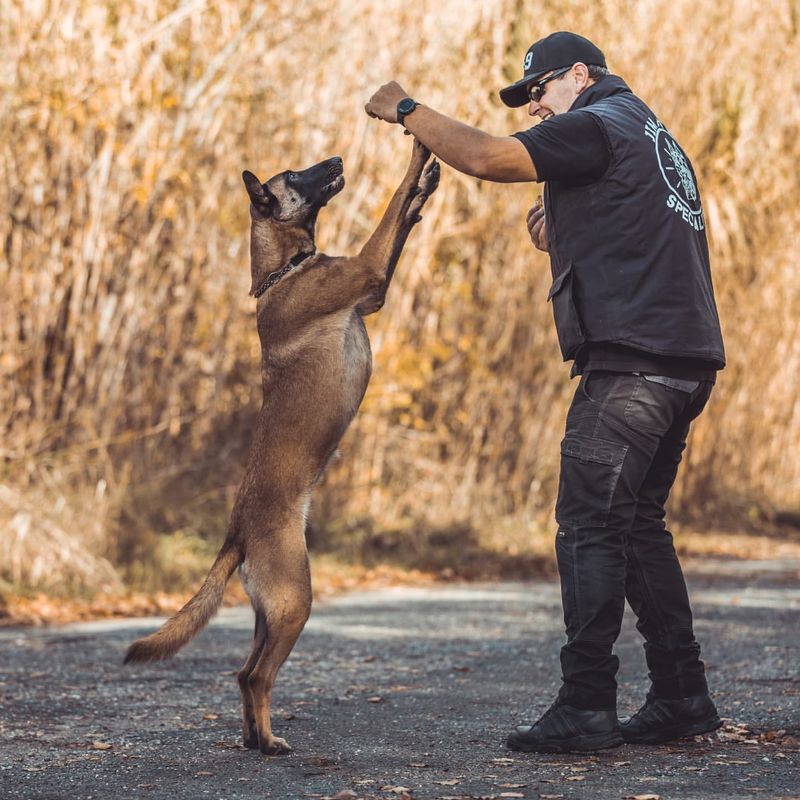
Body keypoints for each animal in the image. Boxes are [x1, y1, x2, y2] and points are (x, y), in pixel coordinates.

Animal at [123, 139, 444, 756]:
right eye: (294, 174)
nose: (337, 159)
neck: (282, 272)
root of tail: (237, 532)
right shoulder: (367, 270)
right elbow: (391, 207)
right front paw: (418, 156)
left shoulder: (373, 289)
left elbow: (402, 222)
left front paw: (426, 189)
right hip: (296, 600)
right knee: (256, 676)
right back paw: (270, 743)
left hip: (268, 611)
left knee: (244, 673)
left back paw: (255, 739)